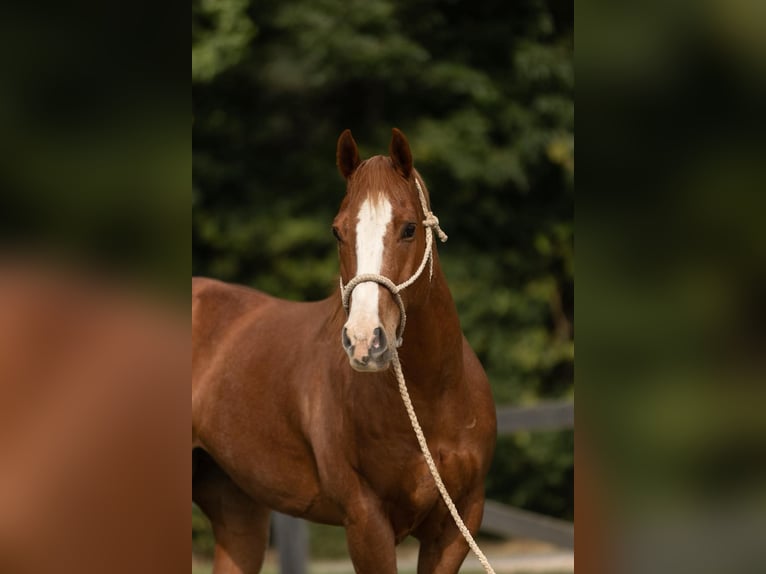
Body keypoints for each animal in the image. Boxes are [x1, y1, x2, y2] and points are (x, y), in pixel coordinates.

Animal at [194, 128, 498, 572]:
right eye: (338, 231)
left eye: (409, 228)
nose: (364, 341)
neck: (433, 401)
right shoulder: (366, 523)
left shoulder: (457, 526)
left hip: (237, 509)